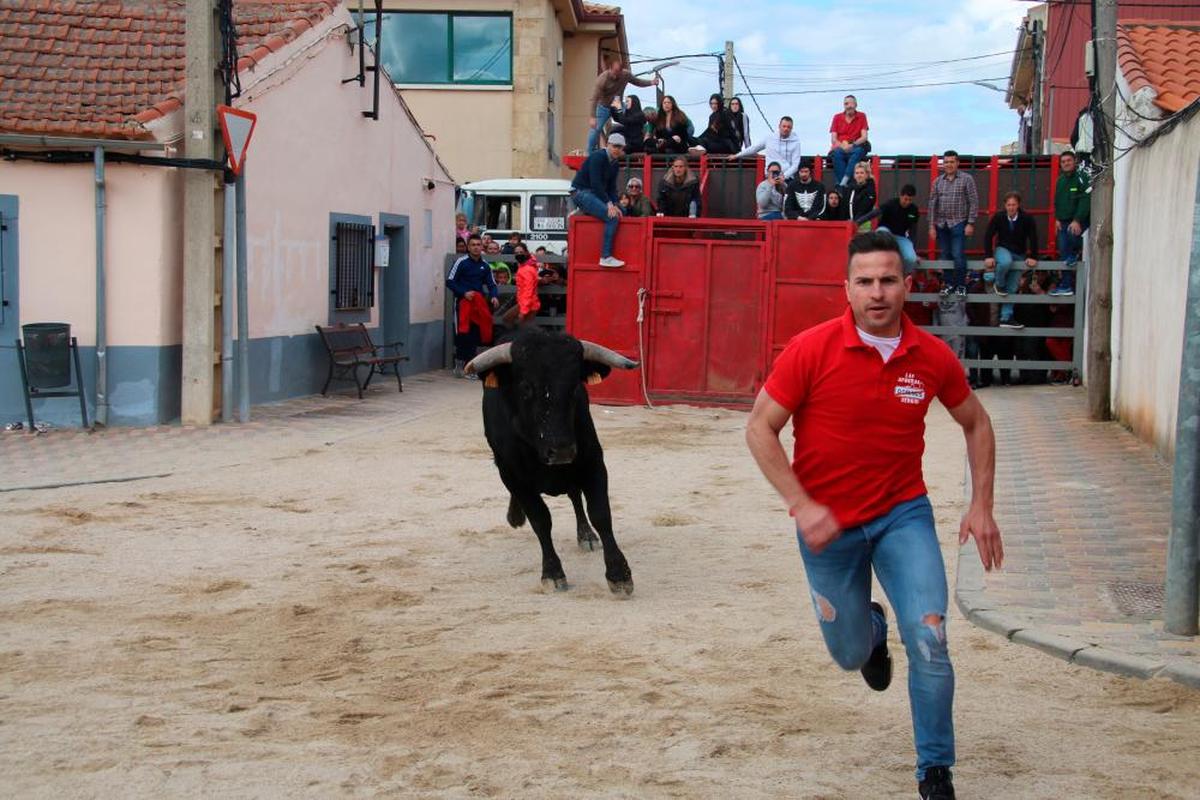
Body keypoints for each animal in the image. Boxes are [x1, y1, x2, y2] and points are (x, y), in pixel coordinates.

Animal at [465, 326, 643, 594]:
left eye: (575, 387)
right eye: (526, 387)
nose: (561, 451)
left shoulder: (592, 462)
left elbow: (600, 514)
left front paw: (618, 574)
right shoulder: (513, 475)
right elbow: (541, 520)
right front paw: (552, 572)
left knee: (575, 496)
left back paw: (586, 535)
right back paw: (515, 516)